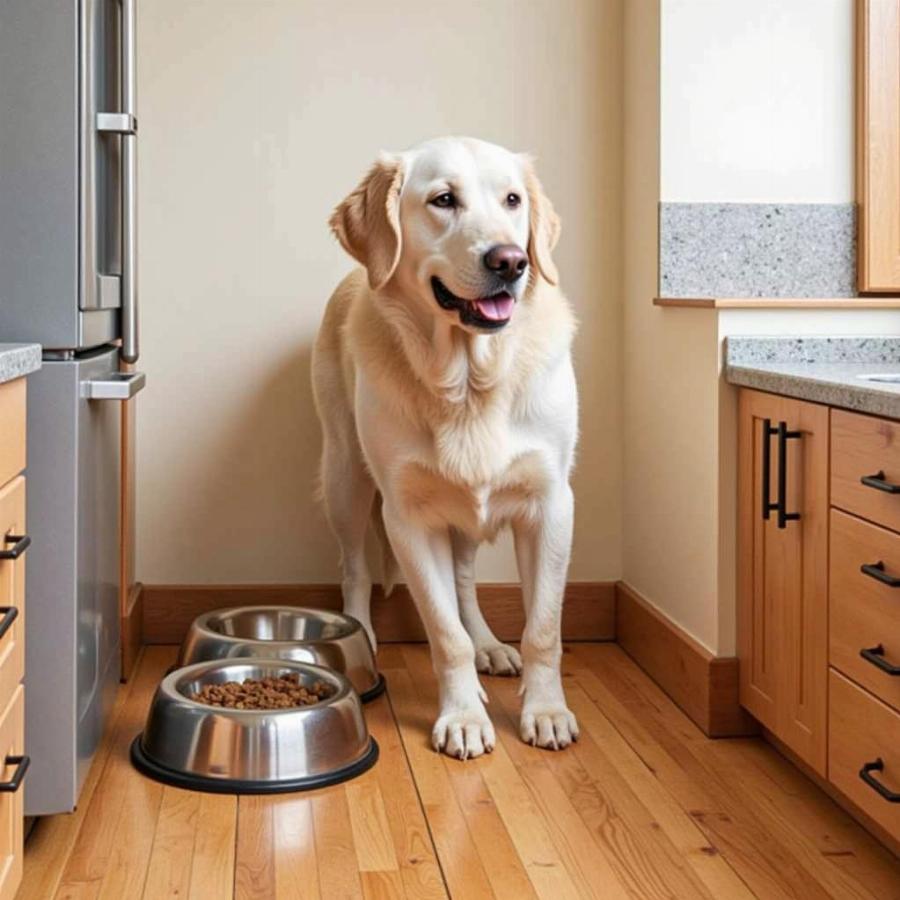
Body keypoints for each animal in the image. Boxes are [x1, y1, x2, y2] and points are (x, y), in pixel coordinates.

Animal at [312, 137, 580, 756]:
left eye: (512, 200)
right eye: (443, 200)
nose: (510, 261)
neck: (469, 381)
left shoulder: (551, 506)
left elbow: (543, 627)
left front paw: (546, 710)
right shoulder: (407, 516)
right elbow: (442, 632)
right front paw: (462, 717)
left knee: (463, 583)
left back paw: (489, 644)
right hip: (345, 476)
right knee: (354, 567)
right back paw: (360, 634)